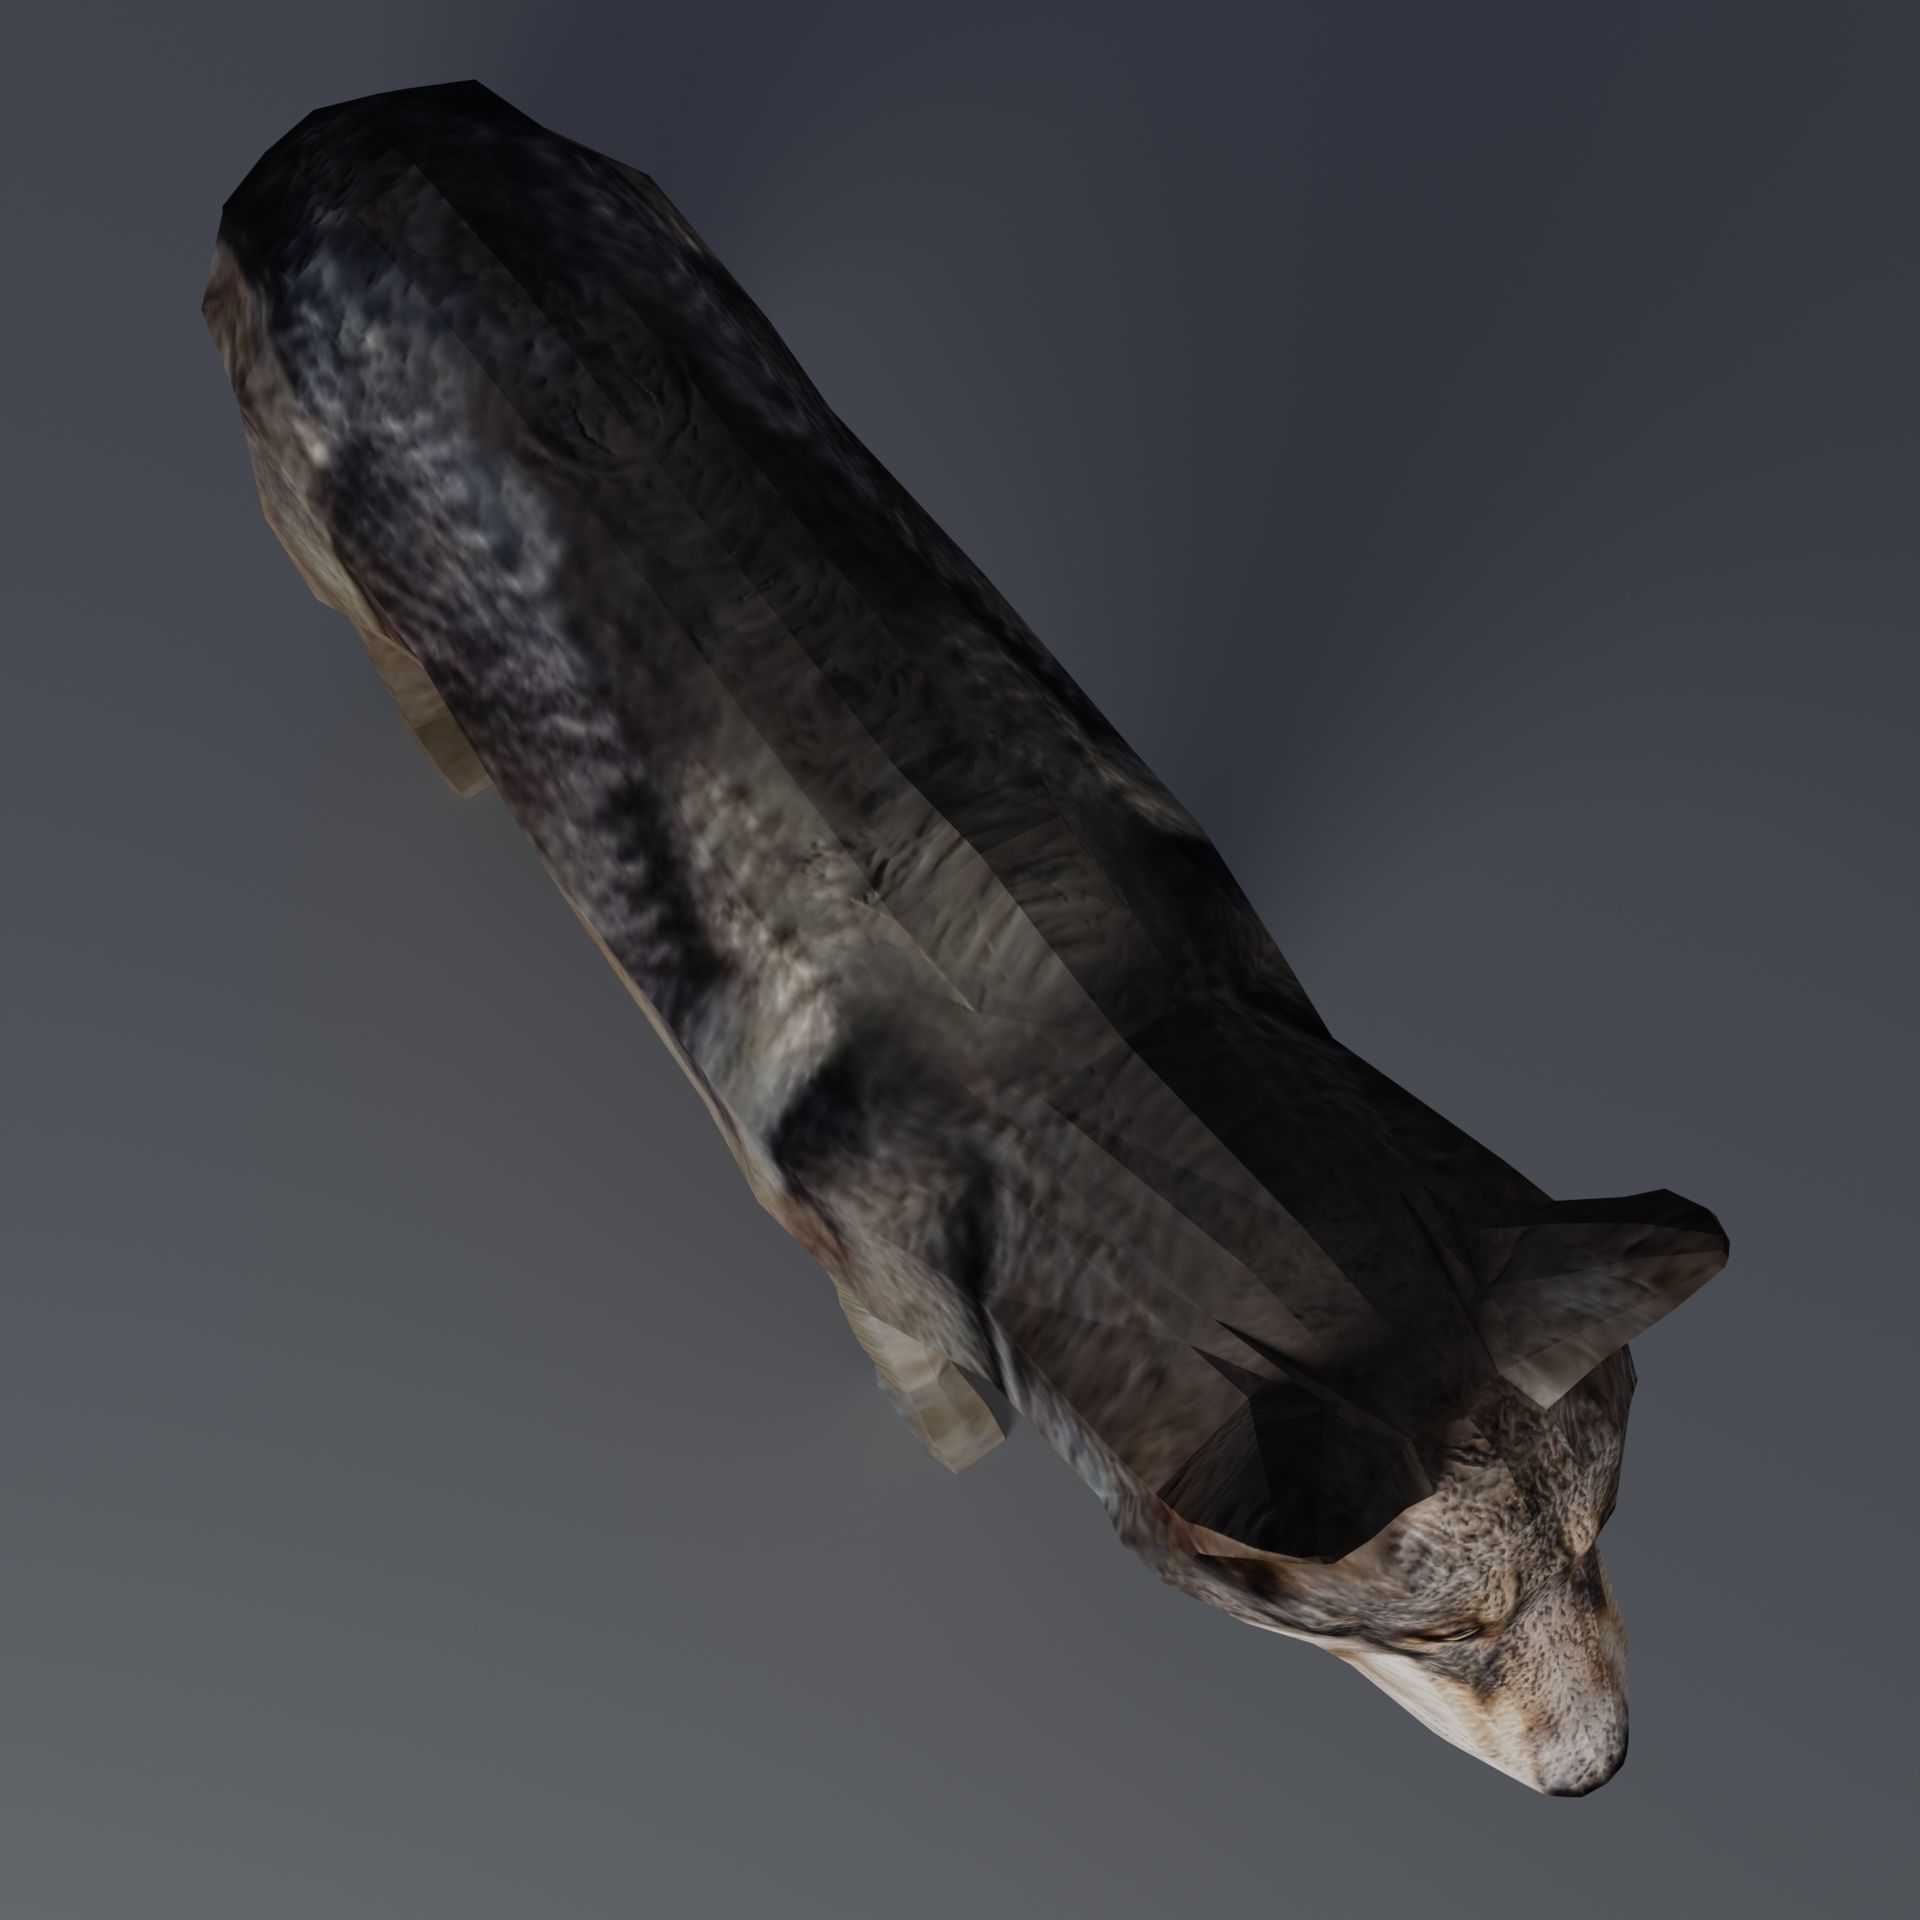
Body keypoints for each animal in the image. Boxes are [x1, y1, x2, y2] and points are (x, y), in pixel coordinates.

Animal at [203, 81, 1729, 1796]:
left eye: (1599, 1541)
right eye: (1441, 1634)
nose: (1604, 1776)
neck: (1104, 1043)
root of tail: (351, 121)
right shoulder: (836, 1230)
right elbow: (927, 1375)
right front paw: (946, 1432)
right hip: (310, 522)